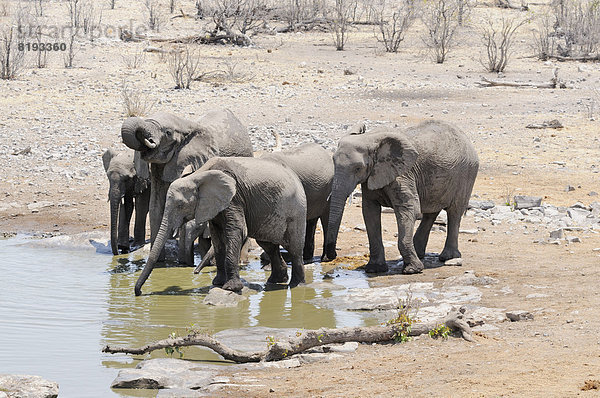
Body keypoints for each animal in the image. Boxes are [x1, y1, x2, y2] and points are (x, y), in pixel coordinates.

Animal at [119, 109, 253, 264]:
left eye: (168, 133)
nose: (148, 140)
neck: (183, 124)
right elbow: (155, 207)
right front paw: (160, 264)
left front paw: (183, 263)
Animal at [134, 155, 308, 296]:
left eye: (180, 205)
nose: (139, 292)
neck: (199, 175)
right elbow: (217, 236)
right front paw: (217, 283)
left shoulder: (234, 197)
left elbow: (237, 230)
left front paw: (231, 288)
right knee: (268, 245)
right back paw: (275, 281)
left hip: (296, 211)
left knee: (294, 248)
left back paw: (296, 285)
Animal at [322, 120, 480, 274]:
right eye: (333, 163)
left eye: (358, 168)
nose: (330, 256)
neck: (370, 139)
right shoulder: (372, 177)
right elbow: (369, 212)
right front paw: (374, 269)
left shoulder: (402, 174)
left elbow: (409, 209)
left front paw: (412, 270)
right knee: (431, 212)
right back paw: (419, 253)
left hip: (466, 173)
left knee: (454, 212)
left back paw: (448, 257)